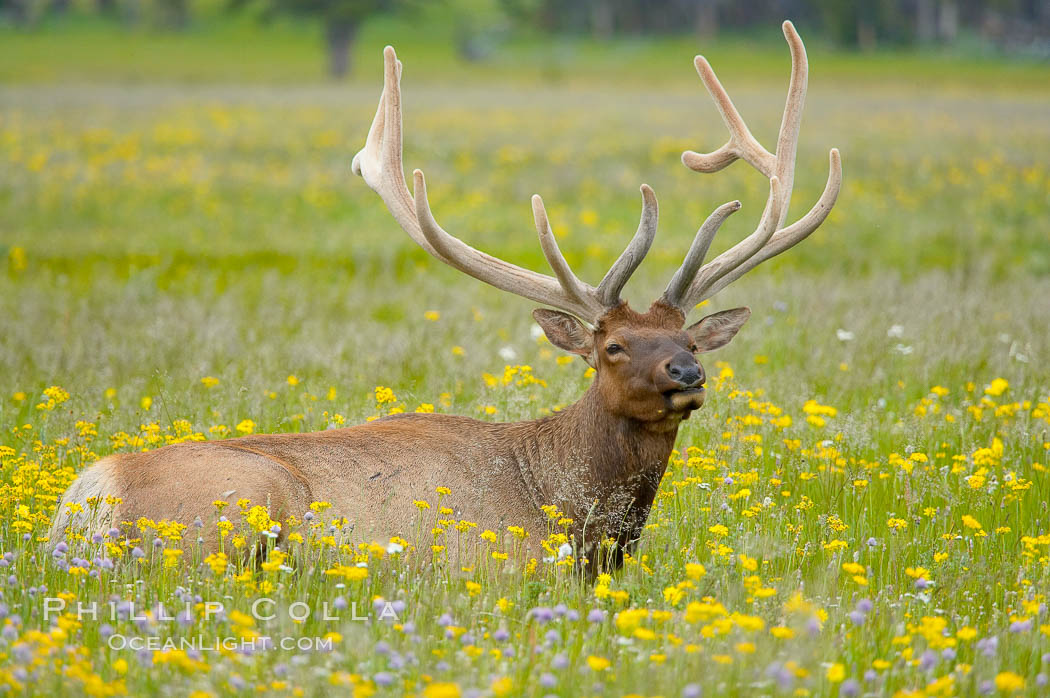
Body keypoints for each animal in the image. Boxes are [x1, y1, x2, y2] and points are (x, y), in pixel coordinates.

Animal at [49, 21, 839, 570]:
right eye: (612, 346)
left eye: (689, 338)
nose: (687, 373)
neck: (574, 520)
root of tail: (87, 501)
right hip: (234, 511)